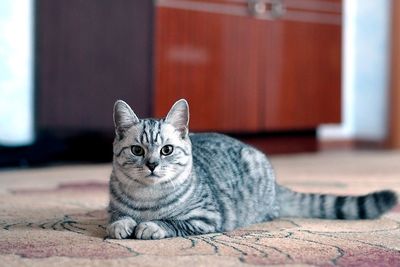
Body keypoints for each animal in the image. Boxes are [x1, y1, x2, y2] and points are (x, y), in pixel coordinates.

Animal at [108, 99, 398, 241]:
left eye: (166, 150)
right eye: (137, 151)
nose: (152, 164)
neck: (148, 200)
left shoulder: (206, 217)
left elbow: (172, 222)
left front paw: (151, 226)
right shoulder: (113, 208)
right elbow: (117, 218)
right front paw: (123, 225)